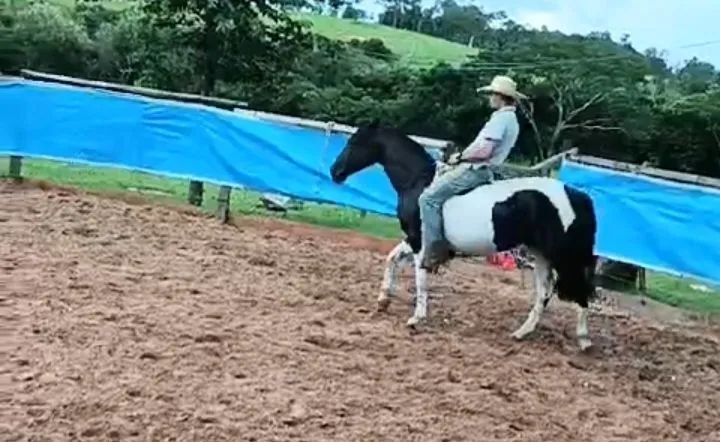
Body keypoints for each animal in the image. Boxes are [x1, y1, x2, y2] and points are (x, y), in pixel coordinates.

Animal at [329, 121, 599, 351]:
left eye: (355, 142)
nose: (335, 172)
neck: (419, 182)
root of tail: (576, 195)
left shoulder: (420, 242)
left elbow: (420, 278)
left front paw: (417, 318)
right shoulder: (413, 239)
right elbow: (391, 259)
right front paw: (383, 300)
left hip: (564, 256)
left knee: (581, 293)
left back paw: (584, 340)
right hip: (541, 254)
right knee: (544, 293)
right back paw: (521, 333)